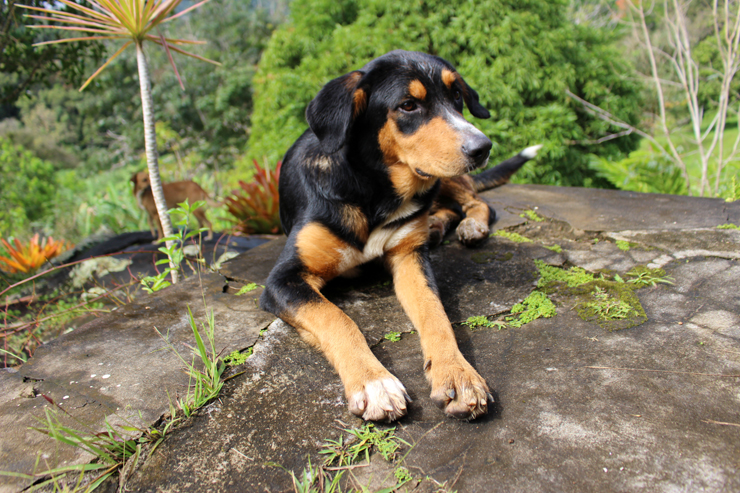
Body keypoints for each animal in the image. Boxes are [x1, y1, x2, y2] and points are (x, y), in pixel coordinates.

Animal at [264, 49, 540, 418]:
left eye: (456, 96)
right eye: (408, 105)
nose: (483, 147)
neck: (375, 191)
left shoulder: (409, 257)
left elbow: (435, 314)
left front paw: (457, 373)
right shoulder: (283, 279)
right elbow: (337, 318)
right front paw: (374, 382)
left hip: (445, 180)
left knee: (476, 203)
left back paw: (469, 225)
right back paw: (438, 225)